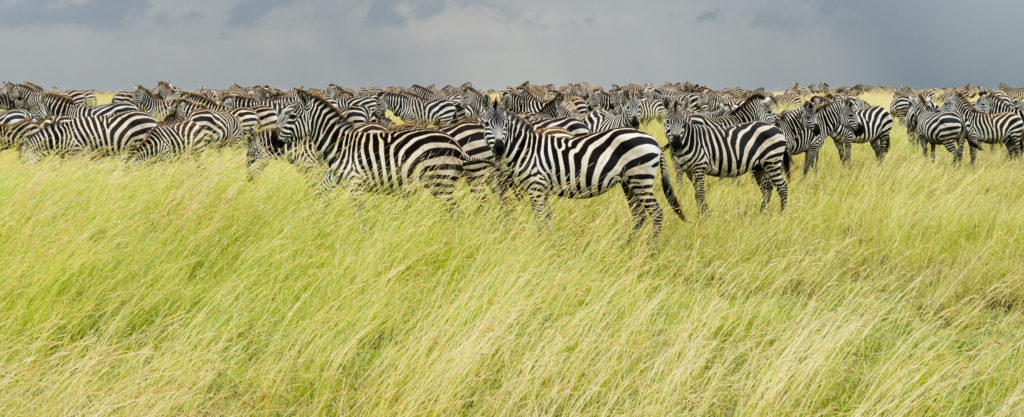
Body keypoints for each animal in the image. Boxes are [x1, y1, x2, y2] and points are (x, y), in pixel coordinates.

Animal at [274, 91, 462, 209]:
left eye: (292, 116)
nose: (275, 141)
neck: (340, 145)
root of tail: (455, 143)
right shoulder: (333, 177)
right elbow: (321, 195)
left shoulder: (355, 183)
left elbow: (360, 213)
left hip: (441, 181)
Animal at [481, 101, 688, 238]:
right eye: (486, 125)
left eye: (505, 125)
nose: (498, 148)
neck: (528, 150)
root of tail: (653, 141)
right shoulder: (541, 190)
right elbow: (547, 218)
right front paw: (550, 241)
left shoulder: (536, 188)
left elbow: (540, 219)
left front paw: (541, 242)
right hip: (630, 182)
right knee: (639, 214)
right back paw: (629, 244)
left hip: (641, 178)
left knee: (656, 213)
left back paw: (652, 249)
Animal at [659, 102, 794, 214]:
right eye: (667, 122)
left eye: (683, 123)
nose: (676, 144)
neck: (691, 140)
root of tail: (777, 130)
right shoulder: (689, 170)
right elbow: (697, 192)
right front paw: (702, 212)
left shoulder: (699, 167)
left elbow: (700, 193)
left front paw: (705, 215)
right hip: (760, 166)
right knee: (767, 188)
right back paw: (762, 212)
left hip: (772, 161)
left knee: (782, 187)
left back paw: (782, 213)